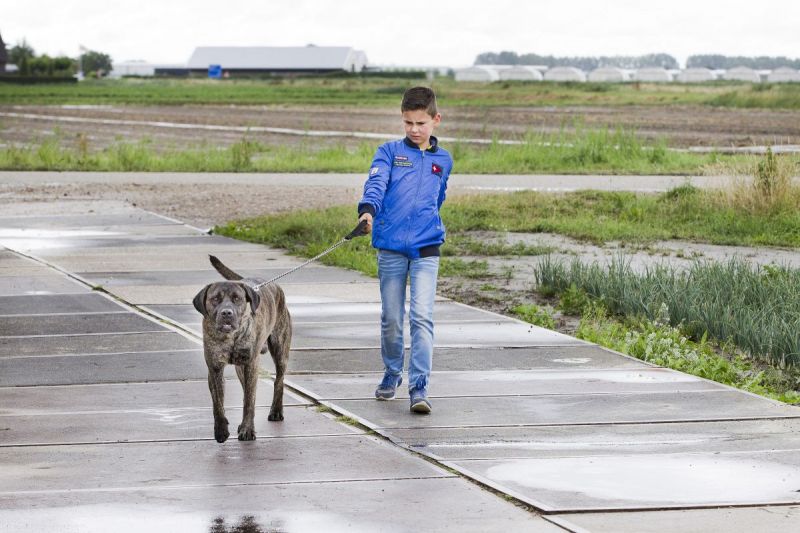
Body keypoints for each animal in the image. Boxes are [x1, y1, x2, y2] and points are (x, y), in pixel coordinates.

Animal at [192, 254, 292, 440]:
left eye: (237, 298)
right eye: (215, 299)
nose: (226, 313)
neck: (231, 336)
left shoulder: (251, 364)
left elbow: (249, 402)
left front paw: (247, 429)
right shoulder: (214, 368)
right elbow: (218, 403)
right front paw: (221, 430)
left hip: (280, 349)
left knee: (279, 380)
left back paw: (276, 411)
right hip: (240, 367)